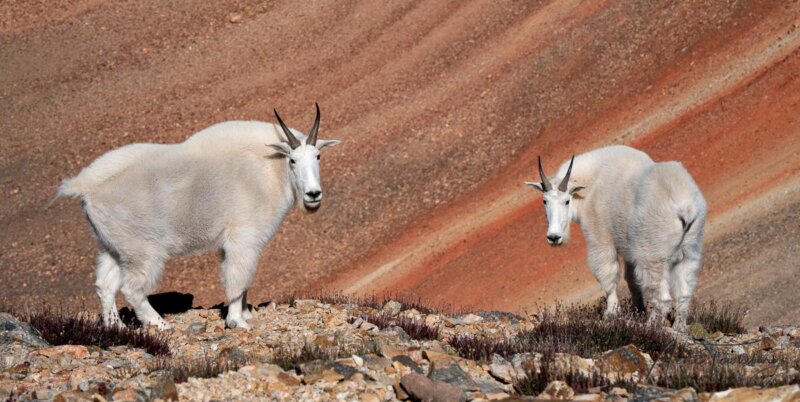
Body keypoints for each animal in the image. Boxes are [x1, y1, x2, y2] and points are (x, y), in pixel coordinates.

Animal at [58, 103, 340, 330]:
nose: (313, 194)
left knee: (104, 285)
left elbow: (235, 278)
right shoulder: (244, 239)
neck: (269, 169)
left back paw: (116, 328)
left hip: (114, 247)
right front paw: (237, 321)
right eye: (292, 160)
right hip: (142, 250)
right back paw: (160, 324)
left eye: (318, 156)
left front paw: (246, 314)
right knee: (132, 288)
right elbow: (238, 279)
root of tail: (86, 188)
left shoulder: (231, 245)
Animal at [524, 144, 708, 330]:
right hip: (689, 253)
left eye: (567, 201)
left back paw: (649, 326)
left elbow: (607, 274)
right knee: (684, 294)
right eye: (544, 201)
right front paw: (637, 310)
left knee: (662, 297)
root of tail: (686, 209)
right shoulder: (628, 251)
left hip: (653, 257)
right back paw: (679, 327)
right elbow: (631, 280)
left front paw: (611, 313)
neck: (592, 183)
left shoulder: (600, 238)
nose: (554, 237)